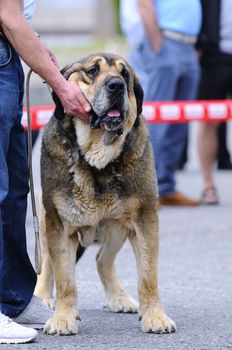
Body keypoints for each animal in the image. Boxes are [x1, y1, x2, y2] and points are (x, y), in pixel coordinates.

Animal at [35, 53, 176, 334]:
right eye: (92, 71)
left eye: (125, 75)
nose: (116, 86)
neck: (97, 158)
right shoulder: (59, 224)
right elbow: (65, 279)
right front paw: (63, 317)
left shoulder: (144, 219)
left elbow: (148, 276)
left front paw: (155, 316)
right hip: (45, 221)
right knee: (46, 264)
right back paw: (43, 298)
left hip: (117, 227)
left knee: (102, 259)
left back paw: (118, 297)